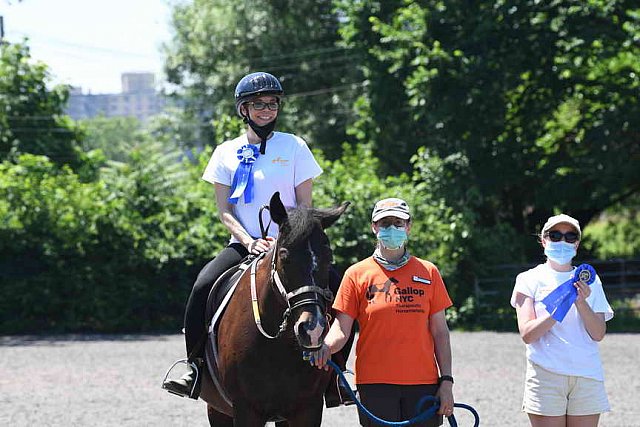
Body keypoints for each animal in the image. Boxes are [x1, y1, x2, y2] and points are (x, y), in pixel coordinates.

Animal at [200, 193, 350, 427]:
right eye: (284, 255)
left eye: (329, 257)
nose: (313, 329)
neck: (278, 343)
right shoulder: (245, 410)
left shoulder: (308, 409)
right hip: (217, 410)